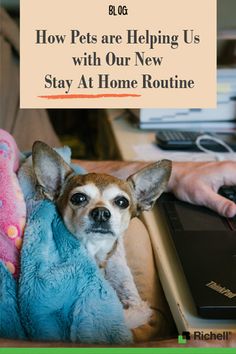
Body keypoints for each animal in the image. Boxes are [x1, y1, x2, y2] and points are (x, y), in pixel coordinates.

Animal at [31, 141, 171, 330]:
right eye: (78, 198)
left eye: (122, 202)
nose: (101, 213)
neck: (95, 251)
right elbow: (123, 315)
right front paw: (140, 313)